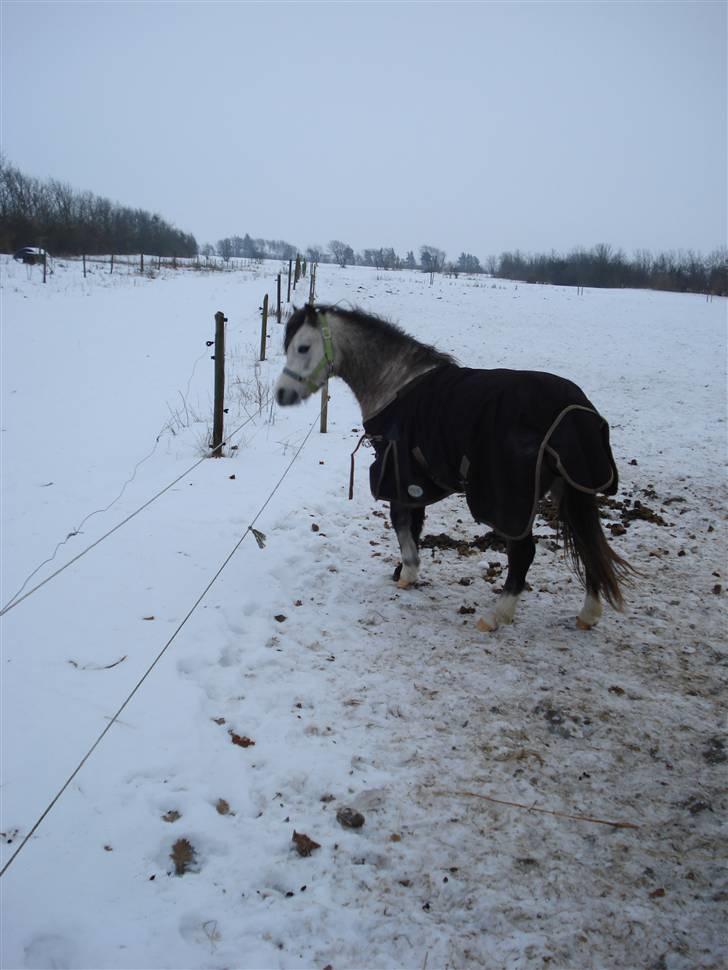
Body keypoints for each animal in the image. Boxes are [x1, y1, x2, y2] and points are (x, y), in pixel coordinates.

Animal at [275, 303, 633, 631]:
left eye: (303, 347)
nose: (282, 394)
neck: (395, 383)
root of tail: (573, 410)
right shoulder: (415, 480)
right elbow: (414, 525)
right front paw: (405, 571)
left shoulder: (399, 473)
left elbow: (402, 524)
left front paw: (408, 572)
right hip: (571, 489)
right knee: (587, 544)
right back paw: (588, 613)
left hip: (511, 501)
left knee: (524, 553)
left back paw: (496, 615)